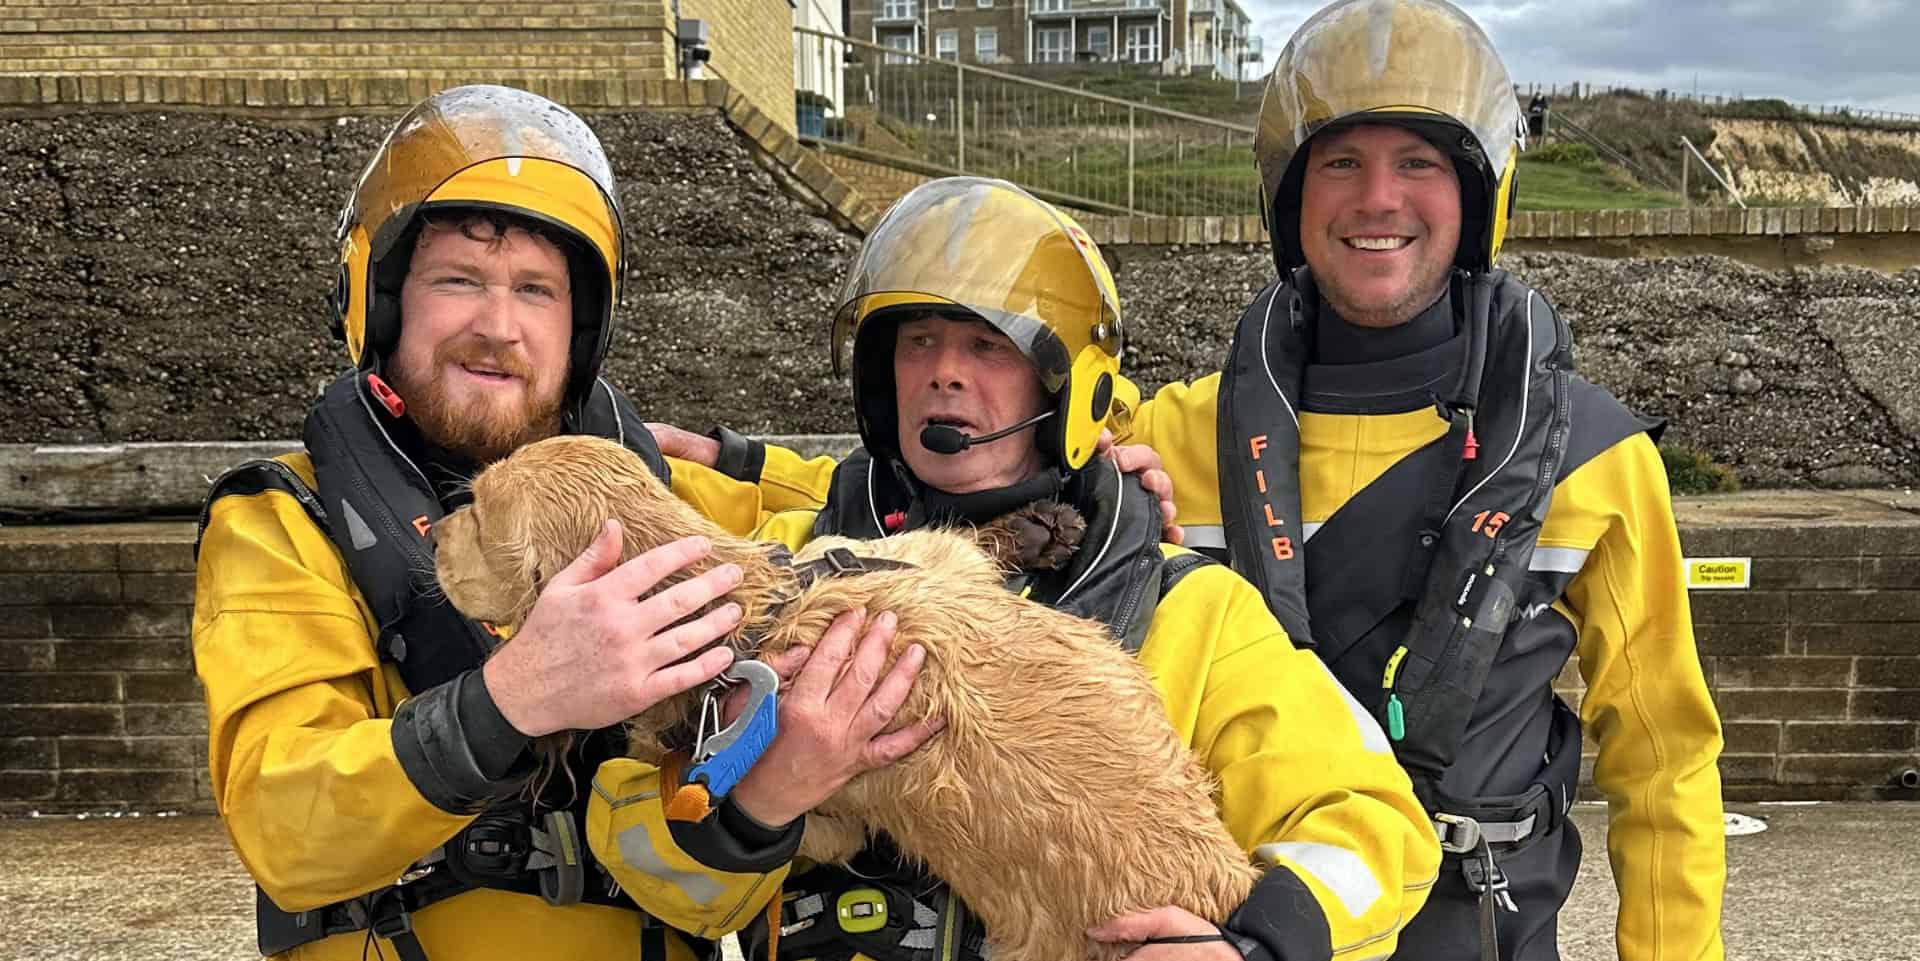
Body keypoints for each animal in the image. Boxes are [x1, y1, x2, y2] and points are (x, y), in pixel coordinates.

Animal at [441, 437, 1267, 959]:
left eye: (478, 509)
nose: (438, 531)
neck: (756, 609)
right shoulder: (912, 557)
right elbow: (958, 539)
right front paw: (1034, 527)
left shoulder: (832, 817)